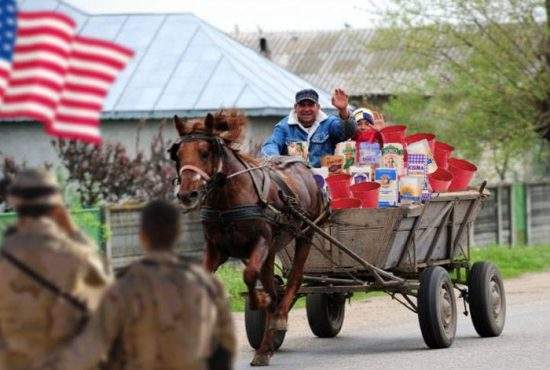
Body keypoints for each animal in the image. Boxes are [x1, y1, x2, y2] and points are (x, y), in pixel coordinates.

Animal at [171, 110, 328, 368]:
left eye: (205, 152)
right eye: (178, 154)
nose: (187, 194)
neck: (228, 199)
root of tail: (303, 167)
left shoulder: (261, 242)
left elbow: (249, 275)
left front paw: (259, 302)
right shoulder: (216, 249)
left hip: (305, 234)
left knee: (294, 279)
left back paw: (277, 320)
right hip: (274, 249)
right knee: (274, 286)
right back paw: (268, 341)